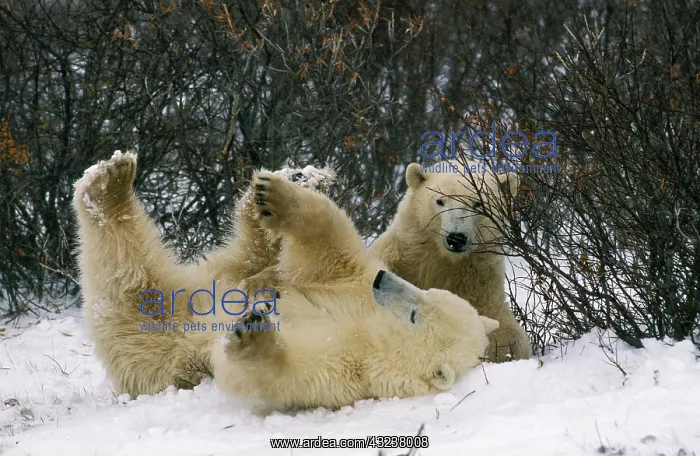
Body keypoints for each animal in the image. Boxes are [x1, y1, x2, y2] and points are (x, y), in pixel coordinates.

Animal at [72, 151, 500, 409]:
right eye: (427, 293)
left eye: (415, 315)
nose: (383, 280)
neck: (368, 326)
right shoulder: (346, 283)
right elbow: (329, 247)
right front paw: (280, 196)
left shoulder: (349, 369)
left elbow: (274, 376)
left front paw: (253, 331)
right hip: (221, 276)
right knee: (253, 253)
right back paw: (294, 182)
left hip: (152, 345)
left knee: (127, 278)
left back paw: (106, 187)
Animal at [369, 160, 532, 362]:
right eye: (440, 201)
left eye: (477, 203)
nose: (456, 237)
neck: (441, 260)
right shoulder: (400, 256)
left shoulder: (478, 280)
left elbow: (504, 329)